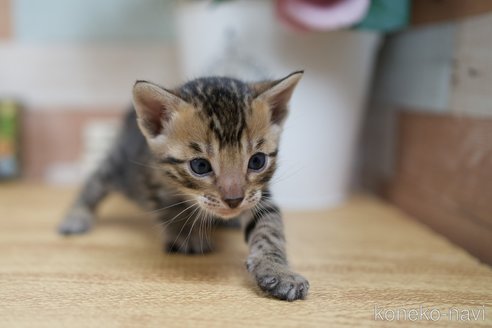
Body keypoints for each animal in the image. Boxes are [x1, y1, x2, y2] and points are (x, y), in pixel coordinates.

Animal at [59, 70, 310, 302]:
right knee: (95, 180)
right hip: (121, 167)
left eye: (257, 161)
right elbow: (169, 207)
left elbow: (269, 228)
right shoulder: (150, 177)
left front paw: (278, 270)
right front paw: (186, 234)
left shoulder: (258, 195)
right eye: (200, 166)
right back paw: (76, 216)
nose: (234, 200)